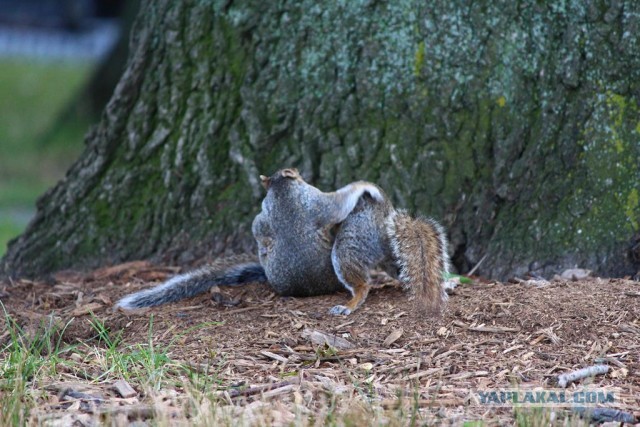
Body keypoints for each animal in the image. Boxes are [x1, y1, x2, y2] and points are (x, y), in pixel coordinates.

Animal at [116, 169, 450, 316]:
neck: (283, 196)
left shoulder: (291, 208)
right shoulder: (317, 201)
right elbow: (339, 201)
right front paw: (365, 187)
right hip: (362, 250)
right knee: (380, 276)